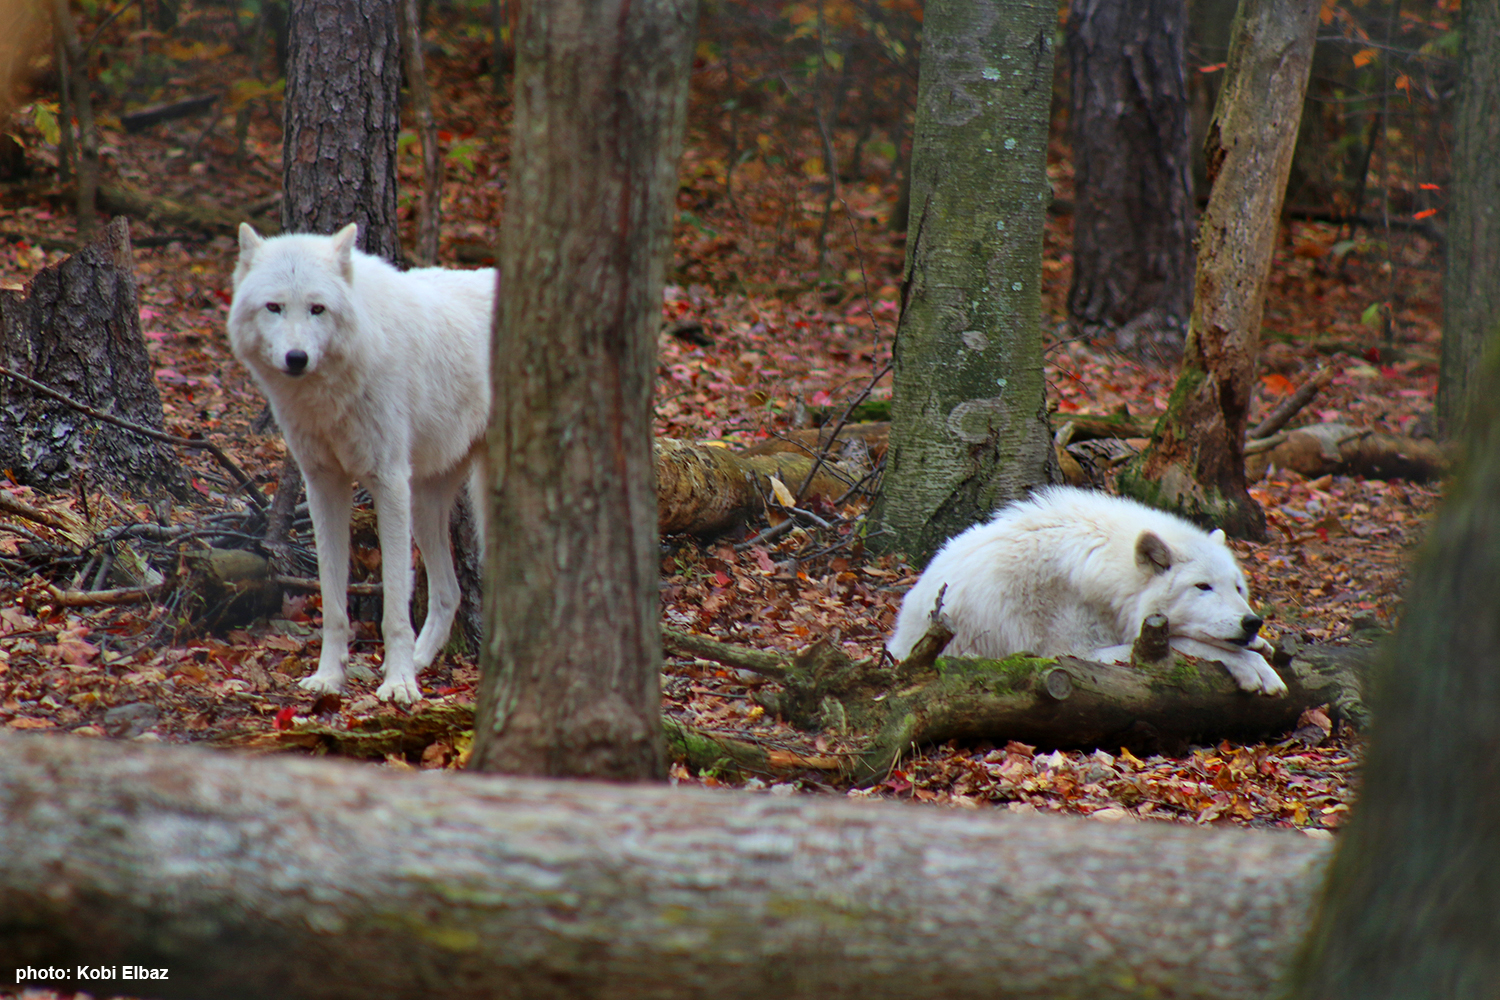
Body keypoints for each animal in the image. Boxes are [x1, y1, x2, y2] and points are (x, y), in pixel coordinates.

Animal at [228, 223, 495, 704]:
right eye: (274, 307)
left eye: (317, 309)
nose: (296, 358)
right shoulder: (323, 486)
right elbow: (334, 603)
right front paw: (328, 677)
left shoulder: (388, 483)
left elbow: (395, 608)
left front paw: (399, 685)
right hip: (425, 504)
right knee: (449, 592)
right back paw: (423, 660)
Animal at [888, 485, 1290, 695]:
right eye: (1202, 587)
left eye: (1237, 587)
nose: (1252, 622)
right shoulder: (1074, 653)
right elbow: (1188, 643)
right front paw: (1254, 668)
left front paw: (1259, 645)